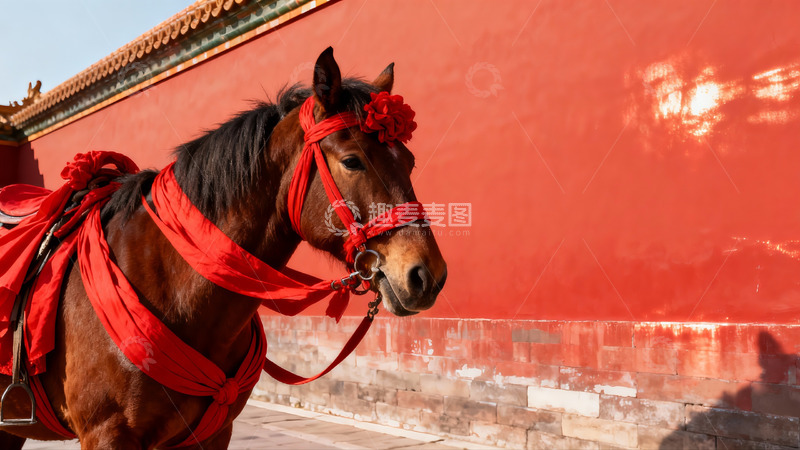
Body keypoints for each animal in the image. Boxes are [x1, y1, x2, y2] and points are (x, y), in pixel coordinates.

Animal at [0, 48, 447, 448]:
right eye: (352, 160)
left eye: (409, 161)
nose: (427, 275)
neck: (177, 291)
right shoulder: (106, 433)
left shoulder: (214, 433)